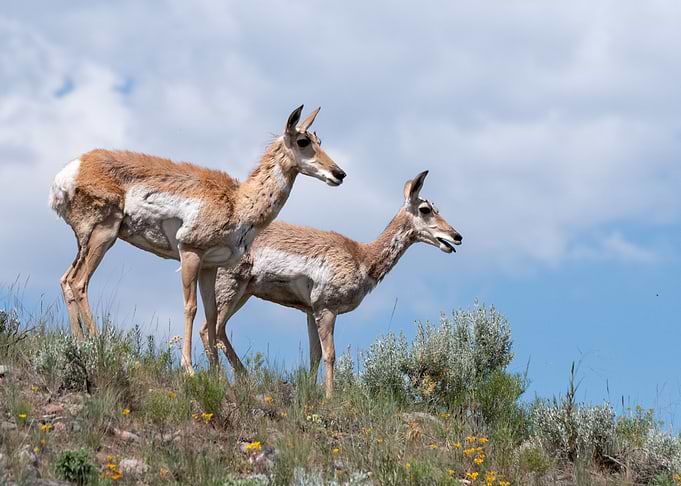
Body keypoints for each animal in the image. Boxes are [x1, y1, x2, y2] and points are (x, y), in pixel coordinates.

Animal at [48, 105, 347, 373]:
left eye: (320, 140)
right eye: (303, 141)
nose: (339, 174)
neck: (238, 201)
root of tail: (70, 170)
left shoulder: (210, 266)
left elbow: (211, 316)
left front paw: (217, 377)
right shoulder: (190, 252)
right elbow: (190, 308)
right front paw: (189, 369)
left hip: (85, 242)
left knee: (66, 279)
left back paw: (78, 344)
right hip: (104, 235)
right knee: (79, 283)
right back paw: (98, 345)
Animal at [201, 170, 462, 397]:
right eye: (425, 209)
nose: (457, 236)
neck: (362, 256)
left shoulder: (310, 311)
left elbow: (315, 354)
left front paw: (310, 390)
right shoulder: (326, 308)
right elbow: (330, 354)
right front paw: (329, 395)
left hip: (243, 293)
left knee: (218, 330)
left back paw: (244, 378)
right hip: (231, 289)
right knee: (209, 330)